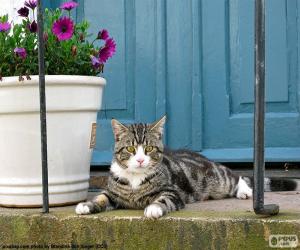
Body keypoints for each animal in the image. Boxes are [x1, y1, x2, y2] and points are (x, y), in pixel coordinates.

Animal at [75, 116, 298, 218]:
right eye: (130, 148)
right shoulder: (113, 193)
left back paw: (245, 191)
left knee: (235, 177)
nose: (139, 160)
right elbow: (102, 197)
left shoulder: (171, 192)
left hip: (217, 178)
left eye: (148, 148)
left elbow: (163, 199)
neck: (135, 179)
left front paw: (154, 208)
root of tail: (203, 157)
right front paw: (87, 205)